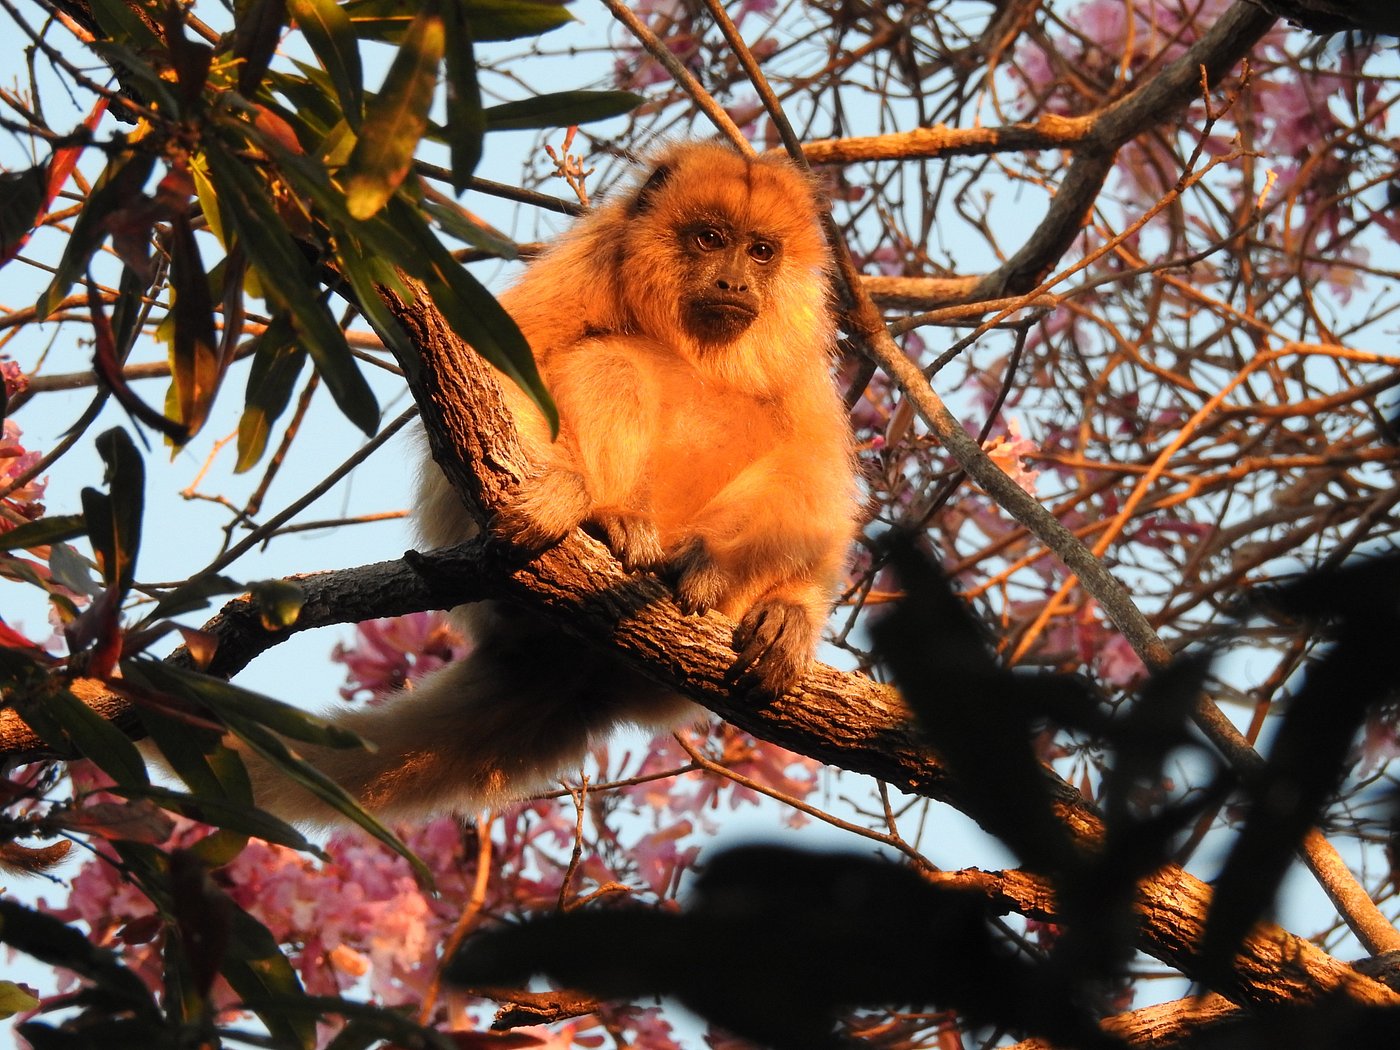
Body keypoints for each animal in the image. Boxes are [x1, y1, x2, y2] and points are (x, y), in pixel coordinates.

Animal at [253, 141, 861, 823]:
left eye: (760, 251)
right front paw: (562, 494)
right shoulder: (589, 262)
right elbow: (490, 377)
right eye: (709, 239)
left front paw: (773, 600)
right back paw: (609, 521)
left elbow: (817, 483)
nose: (734, 281)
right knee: (610, 361)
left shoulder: (804, 343)